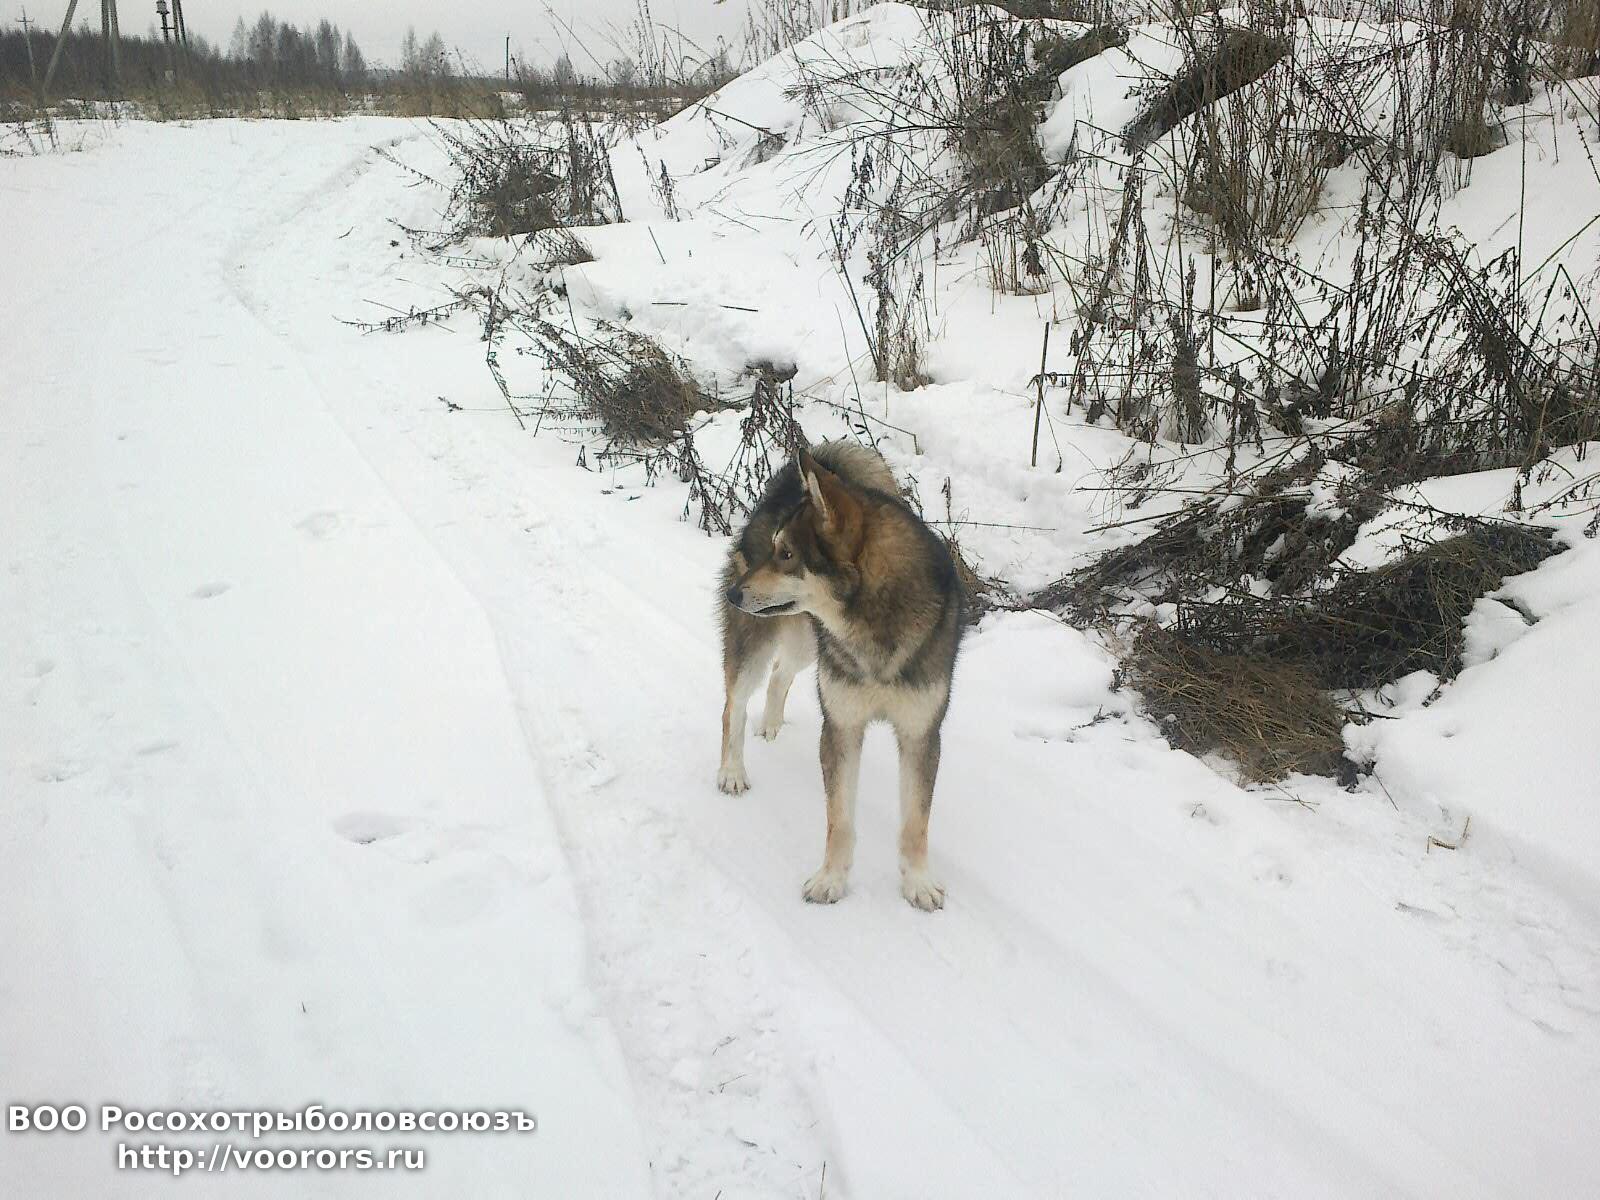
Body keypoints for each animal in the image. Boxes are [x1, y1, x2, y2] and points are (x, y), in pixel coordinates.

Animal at [718, 441, 964, 910]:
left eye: (788, 555)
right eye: (776, 550)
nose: (733, 592)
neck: (873, 624)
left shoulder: (921, 732)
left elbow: (915, 822)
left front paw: (918, 883)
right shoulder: (842, 726)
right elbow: (840, 819)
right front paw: (830, 880)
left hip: (805, 644)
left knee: (780, 675)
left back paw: (772, 725)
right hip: (757, 644)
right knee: (733, 705)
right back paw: (732, 772)